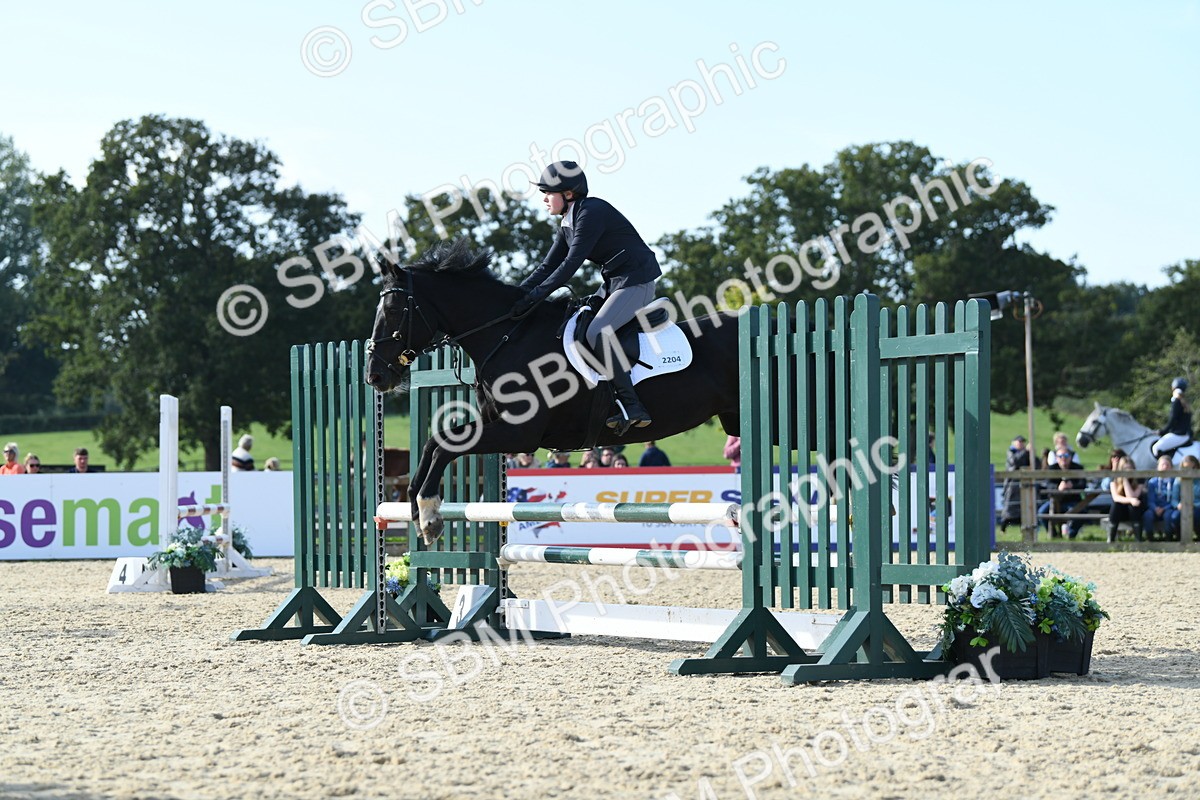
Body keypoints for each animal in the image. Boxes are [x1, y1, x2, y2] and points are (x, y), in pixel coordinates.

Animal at [365, 240, 742, 544]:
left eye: (394, 310)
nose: (374, 375)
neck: (509, 336)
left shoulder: (519, 433)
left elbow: (445, 446)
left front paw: (429, 514)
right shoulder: (497, 425)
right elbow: (434, 442)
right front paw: (417, 509)